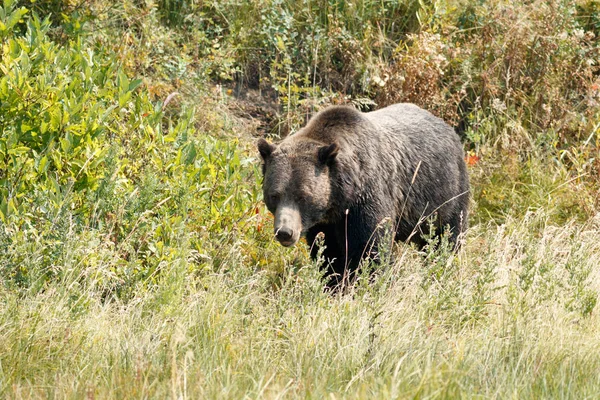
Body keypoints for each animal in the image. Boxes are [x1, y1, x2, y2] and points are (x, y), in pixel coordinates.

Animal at [256, 103, 468, 288]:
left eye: (302, 195)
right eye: (274, 195)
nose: (285, 232)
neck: (340, 198)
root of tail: (446, 126)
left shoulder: (368, 197)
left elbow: (370, 249)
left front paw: (369, 283)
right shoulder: (326, 223)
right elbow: (328, 254)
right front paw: (334, 284)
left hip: (446, 191)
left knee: (447, 235)